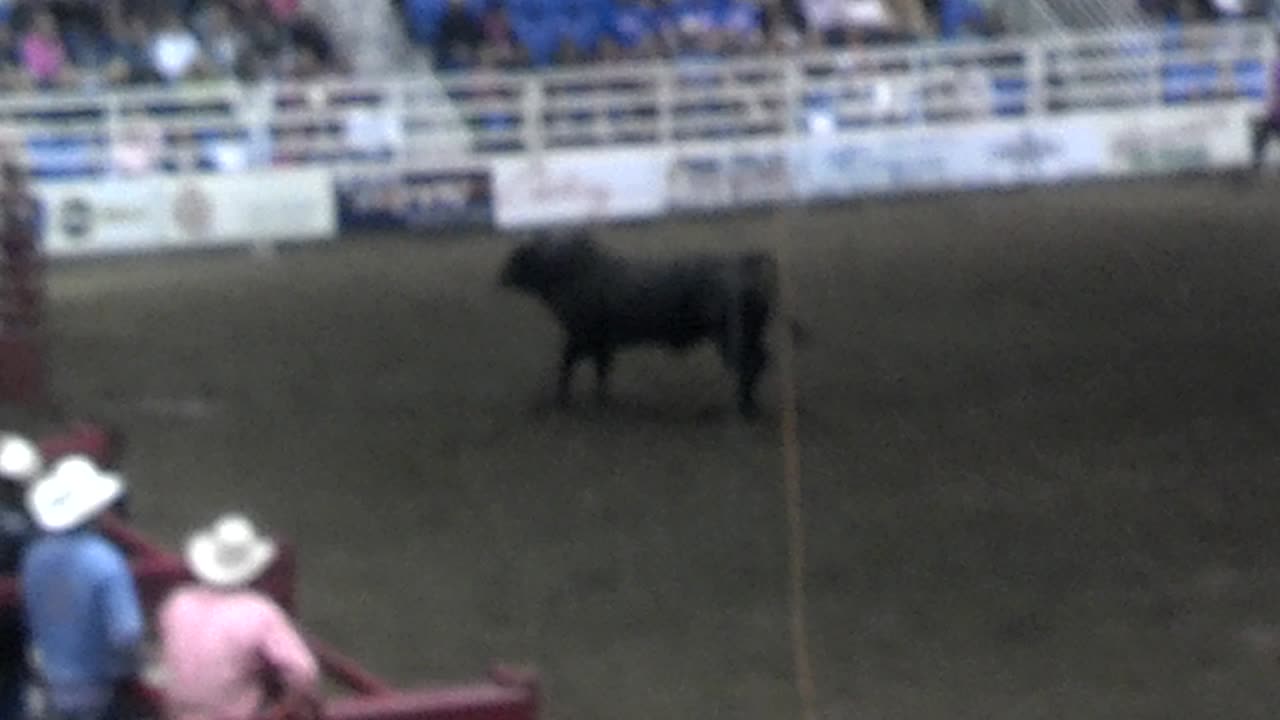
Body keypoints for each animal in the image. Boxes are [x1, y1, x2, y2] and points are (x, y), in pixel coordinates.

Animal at [494, 226, 803, 415]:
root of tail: (746, 263)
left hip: (729, 337)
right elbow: (600, 370)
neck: (572, 272)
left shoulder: (580, 336)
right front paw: (600, 399)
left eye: (518, 256)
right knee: (759, 361)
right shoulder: (601, 342)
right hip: (750, 333)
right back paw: (749, 406)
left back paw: (743, 407)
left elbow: (568, 365)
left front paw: (563, 400)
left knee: (748, 364)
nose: (500, 277)